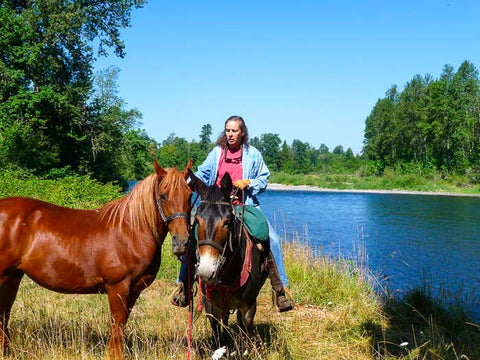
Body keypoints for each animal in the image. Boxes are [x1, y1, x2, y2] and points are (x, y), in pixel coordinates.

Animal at [0, 160, 195, 358]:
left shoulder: (134, 290)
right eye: (163, 196)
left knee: (4, 315)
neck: (132, 230)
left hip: (13, 277)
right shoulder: (118, 287)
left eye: (189, 195)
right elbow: (117, 326)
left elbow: (121, 325)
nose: (182, 241)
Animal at [188, 171, 268, 344]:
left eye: (227, 222)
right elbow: (217, 335)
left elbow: (246, 330)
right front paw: (222, 344)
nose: (206, 270)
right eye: (196, 220)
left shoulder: (249, 306)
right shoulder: (211, 305)